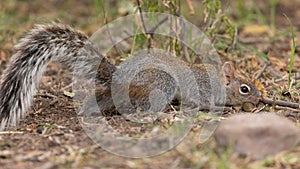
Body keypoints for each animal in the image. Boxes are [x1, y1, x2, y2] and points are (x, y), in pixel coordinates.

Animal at [0, 23, 262, 129]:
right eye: (245, 88)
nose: (259, 98)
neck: (220, 82)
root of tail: (119, 77)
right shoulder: (204, 91)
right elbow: (203, 103)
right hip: (161, 83)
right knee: (139, 109)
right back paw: (160, 116)